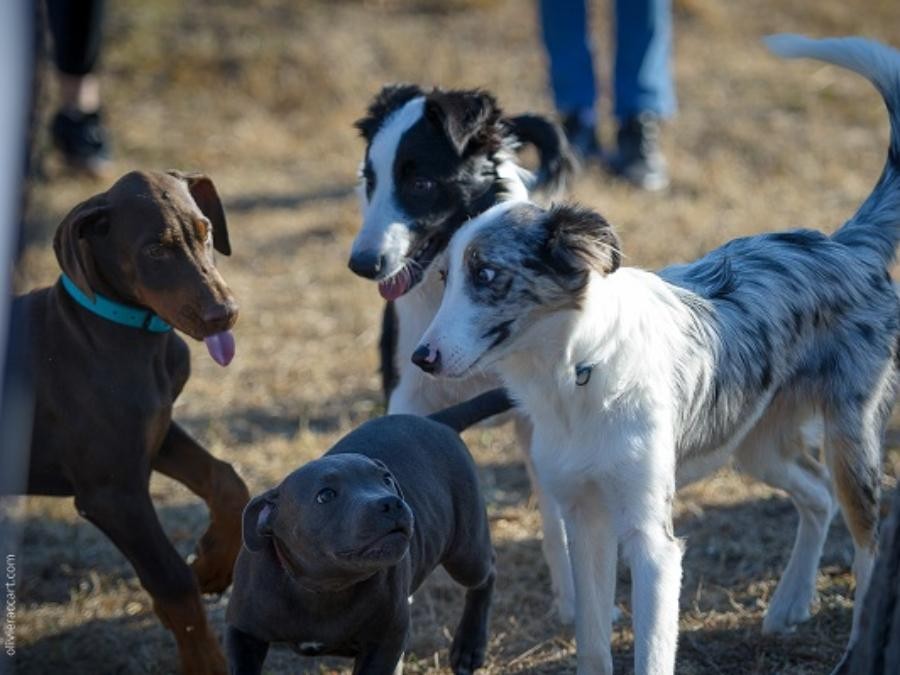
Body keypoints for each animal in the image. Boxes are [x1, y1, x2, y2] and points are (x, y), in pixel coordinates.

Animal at [14, 170, 249, 675]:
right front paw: (205, 662)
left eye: (205, 232)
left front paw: (212, 566)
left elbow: (226, 479)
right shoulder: (113, 493)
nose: (226, 314)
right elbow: (172, 580)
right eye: (155, 250)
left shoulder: (155, 433)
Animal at [225, 389, 512, 675]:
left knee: (487, 574)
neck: (324, 587)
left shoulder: (385, 642)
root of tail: (437, 421)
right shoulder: (243, 632)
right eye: (325, 495)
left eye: (386, 480)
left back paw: (469, 648)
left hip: (466, 551)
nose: (392, 503)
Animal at [349, 84, 581, 623]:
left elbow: (556, 521)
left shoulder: (538, 413)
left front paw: (573, 606)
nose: (362, 264)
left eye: (421, 183)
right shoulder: (406, 397)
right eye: (370, 180)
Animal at [412, 36, 900, 674]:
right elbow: (593, 644)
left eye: (487, 275)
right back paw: (788, 605)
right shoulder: (585, 521)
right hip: (754, 442)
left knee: (870, 538)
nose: (420, 358)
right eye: (445, 278)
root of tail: (844, 243)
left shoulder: (652, 543)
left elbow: (650, 653)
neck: (576, 374)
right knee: (816, 495)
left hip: (849, 434)